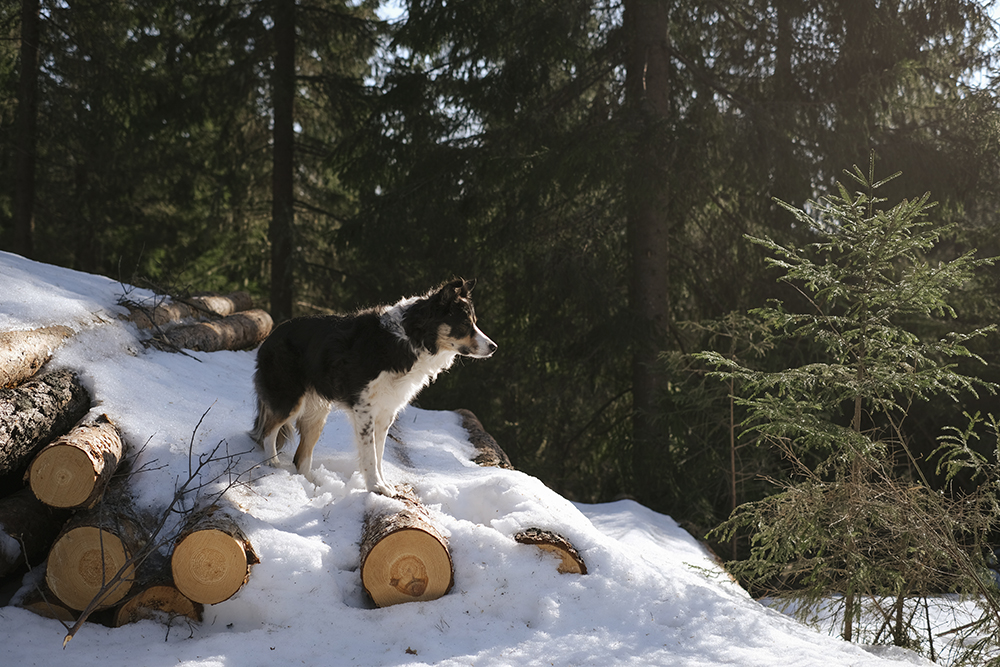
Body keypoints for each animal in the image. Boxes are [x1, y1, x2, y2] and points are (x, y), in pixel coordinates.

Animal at [250, 278, 492, 496]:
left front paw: (383, 484)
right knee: (267, 433)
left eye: (475, 322)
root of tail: (271, 335)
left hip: (317, 413)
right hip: (289, 400)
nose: (494, 347)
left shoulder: (386, 412)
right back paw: (273, 466)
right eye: (465, 325)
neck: (409, 339)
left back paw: (313, 486)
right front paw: (375, 487)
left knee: (300, 458)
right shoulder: (364, 409)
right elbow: (369, 454)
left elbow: (379, 453)